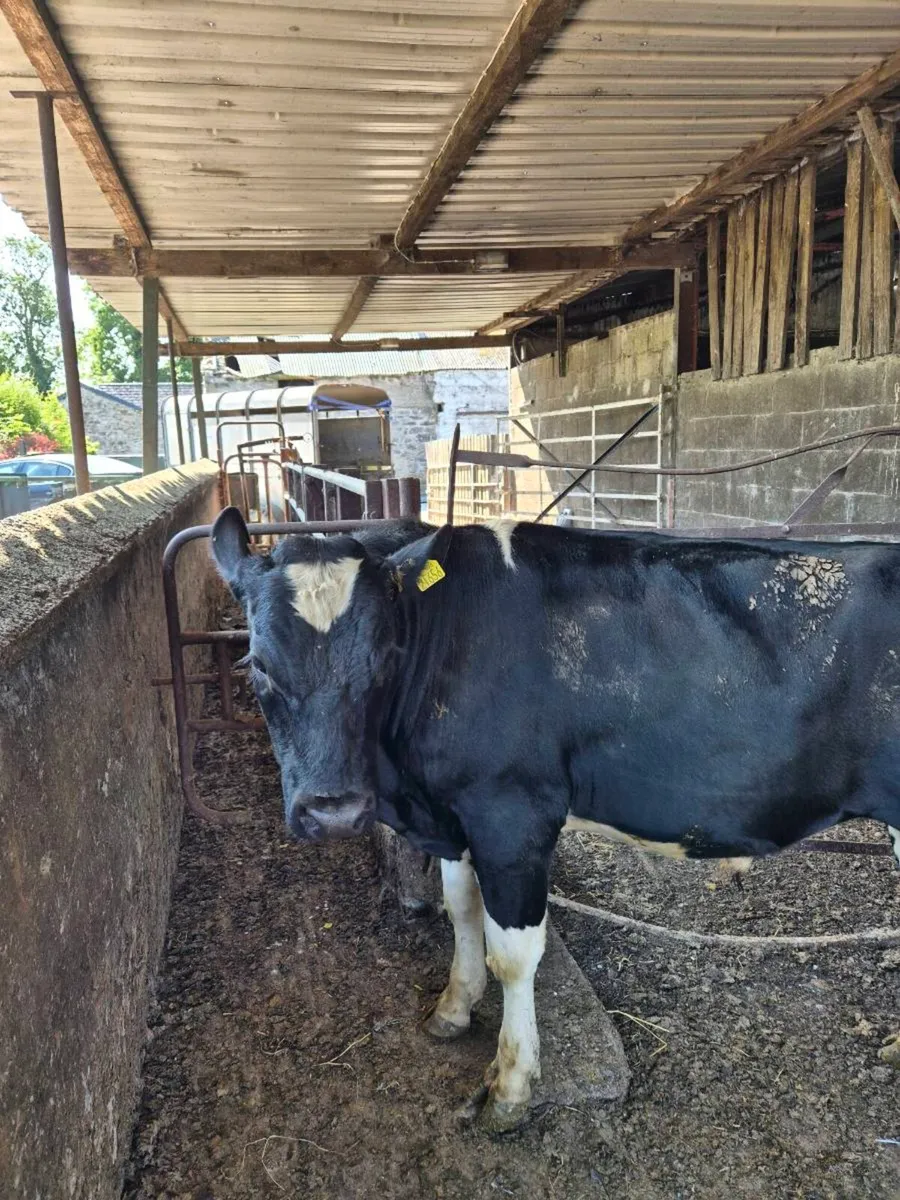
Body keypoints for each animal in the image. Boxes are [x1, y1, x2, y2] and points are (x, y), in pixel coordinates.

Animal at [211, 507, 900, 1131]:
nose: (333, 810)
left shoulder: (513, 813)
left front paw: (511, 1086)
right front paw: (453, 1008)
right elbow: (461, 910)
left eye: (383, 656)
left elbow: (514, 955)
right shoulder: (455, 817)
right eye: (258, 665)